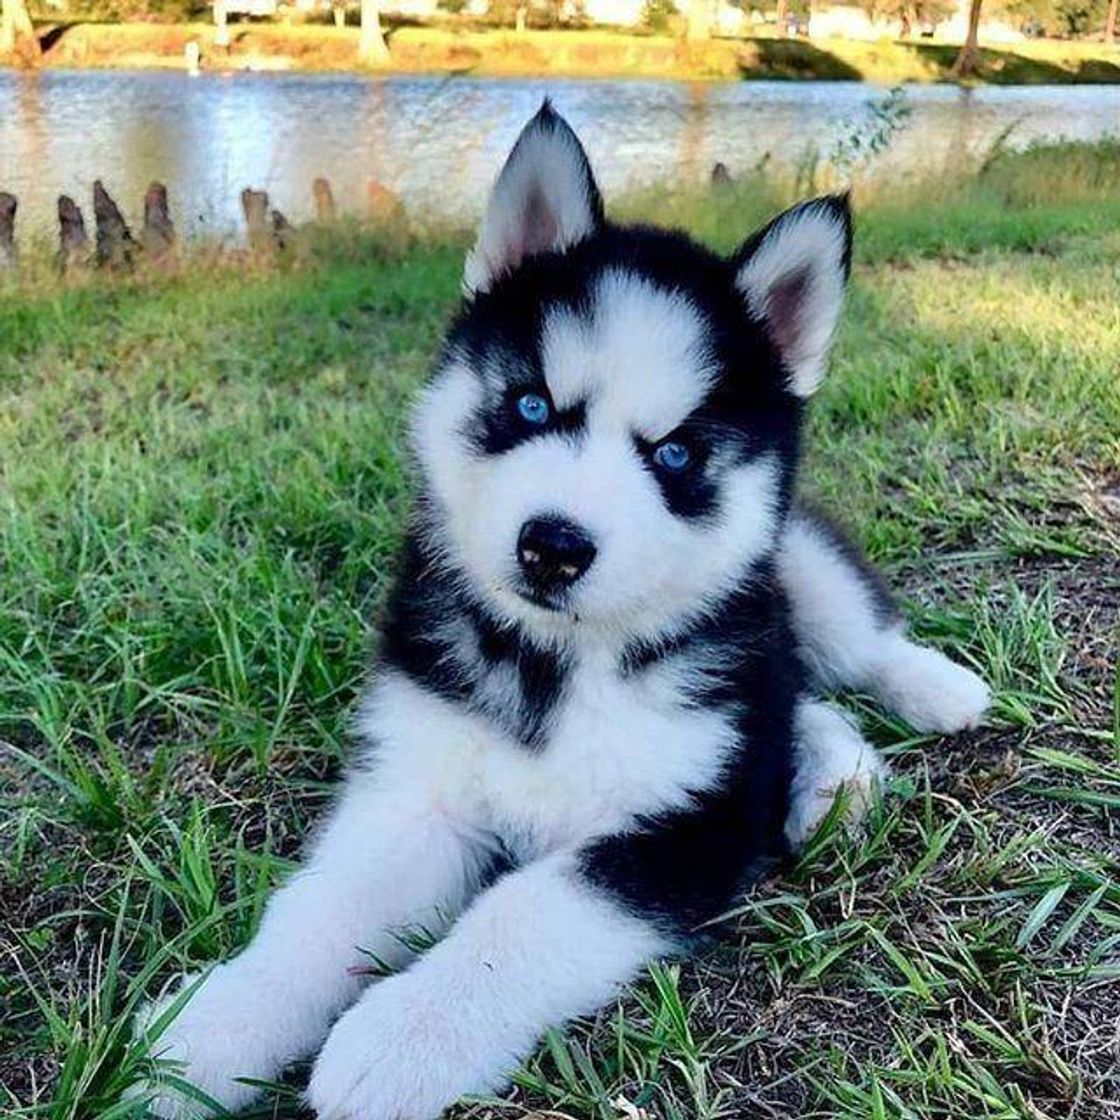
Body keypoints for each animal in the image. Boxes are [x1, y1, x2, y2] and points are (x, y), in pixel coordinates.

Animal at [142, 103, 990, 1111]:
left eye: (673, 454)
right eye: (531, 406)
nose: (552, 545)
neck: (558, 662)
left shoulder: (679, 832)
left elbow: (524, 917)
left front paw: (399, 1037)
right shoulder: (421, 792)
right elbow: (321, 911)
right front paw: (208, 1034)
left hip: (794, 562)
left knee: (843, 652)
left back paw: (922, 704)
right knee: (793, 696)